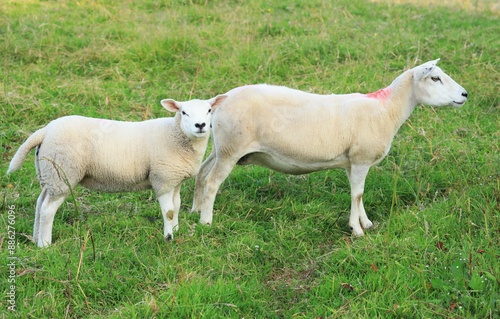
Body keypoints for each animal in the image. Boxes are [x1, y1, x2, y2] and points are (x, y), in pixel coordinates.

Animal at [7, 95, 228, 248]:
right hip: (63, 173)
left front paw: (175, 230)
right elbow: (169, 211)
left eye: (209, 110)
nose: (200, 125)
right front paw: (168, 237)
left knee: (39, 203)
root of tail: (45, 131)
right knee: (47, 209)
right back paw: (45, 245)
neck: (176, 136)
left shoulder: (174, 180)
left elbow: (177, 206)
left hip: (50, 175)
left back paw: (35, 238)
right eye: (184, 112)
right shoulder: (162, 178)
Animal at [191, 58, 468, 236]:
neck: (387, 110)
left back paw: (195, 210)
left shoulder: (352, 161)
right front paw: (356, 230)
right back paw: (206, 221)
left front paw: (365, 222)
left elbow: (358, 193)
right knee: (213, 182)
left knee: (202, 174)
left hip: (221, 147)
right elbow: (358, 194)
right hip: (231, 148)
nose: (465, 94)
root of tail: (218, 102)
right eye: (435, 77)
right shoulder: (361, 158)